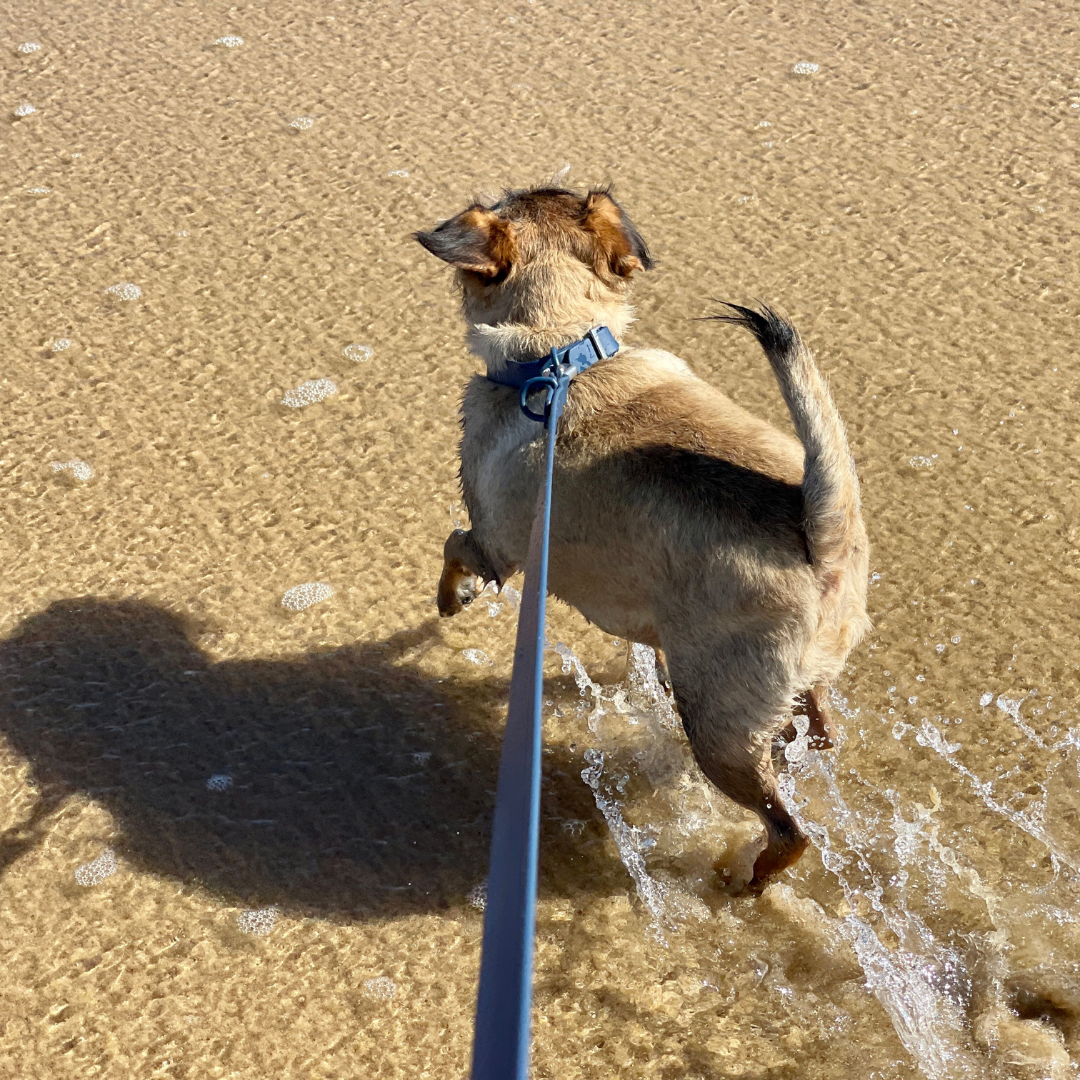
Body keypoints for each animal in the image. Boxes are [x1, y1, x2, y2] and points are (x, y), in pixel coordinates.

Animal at [412, 185, 868, 885]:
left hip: (717, 726)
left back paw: (745, 880)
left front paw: (449, 601)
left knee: (787, 830)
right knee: (814, 730)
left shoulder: (495, 543)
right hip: (784, 687)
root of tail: (820, 533)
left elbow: (454, 544)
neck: (563, 354)